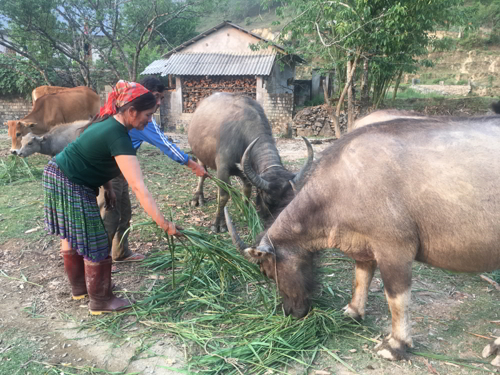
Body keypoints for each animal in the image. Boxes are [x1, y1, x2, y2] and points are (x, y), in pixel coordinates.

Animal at [188, 94, 312, 232]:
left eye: (289, 202)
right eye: (268, 201)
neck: (242, 136)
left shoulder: (246, 174)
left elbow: (246, 191)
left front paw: (245, 212)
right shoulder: (222, 170)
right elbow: (224, 196)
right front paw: (218, 224)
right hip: (200, 155)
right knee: (202, 174)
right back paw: (198, 198)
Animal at [226, 117, 500, 364]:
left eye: (267, 271)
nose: (291, 312)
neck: (344, 184)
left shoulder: (395, 250)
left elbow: (397, 297)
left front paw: (396, 345)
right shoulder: (364, 246)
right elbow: (361, 277)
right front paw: (353, 311)